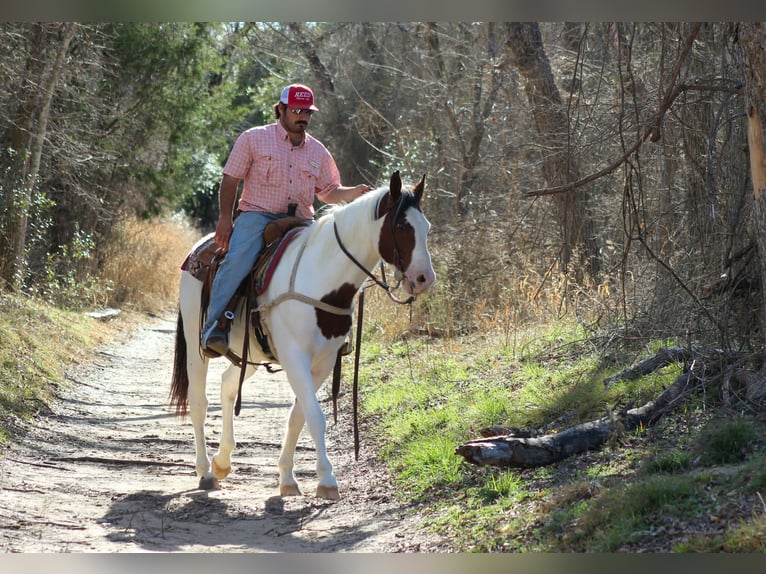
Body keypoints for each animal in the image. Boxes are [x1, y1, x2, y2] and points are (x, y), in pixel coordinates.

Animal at [169, 170, 436, 500]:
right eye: (401, 226)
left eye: (426, 226)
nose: (425, 279)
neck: (323, 281)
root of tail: (200, 250)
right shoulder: (295, 358)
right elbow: (315, 417)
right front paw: (327, 480)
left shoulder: (323, 362)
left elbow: (300, 416)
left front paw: (287, 478)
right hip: (196, 344)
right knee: (198, 401)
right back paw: (206, 471)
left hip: (249, 353)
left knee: (228, 385)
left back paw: (222, 461)